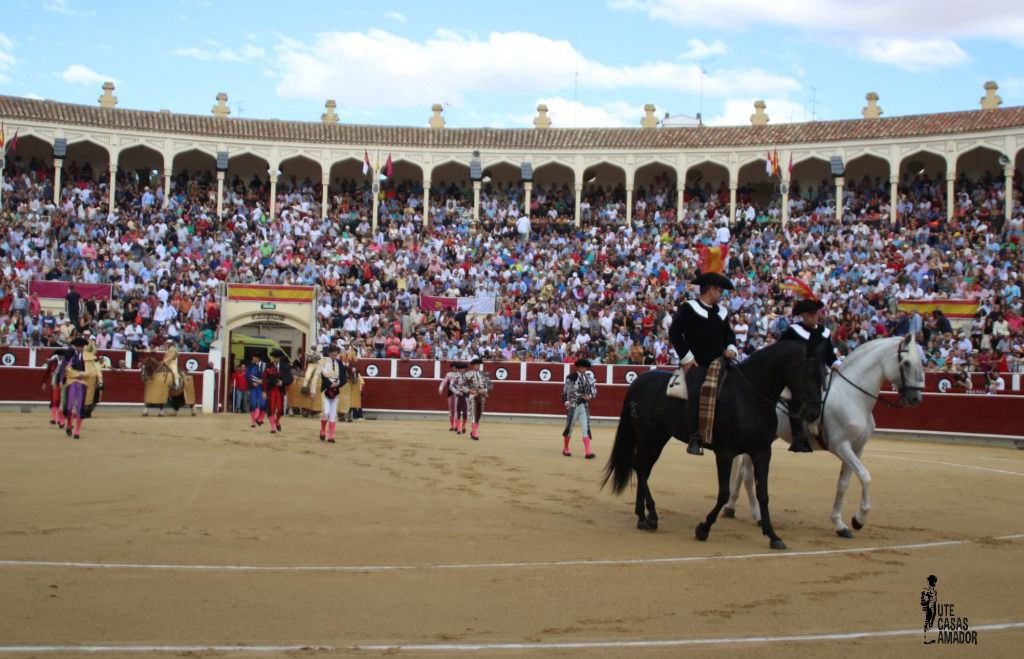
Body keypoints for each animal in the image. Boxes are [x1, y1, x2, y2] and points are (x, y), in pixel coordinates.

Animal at [720, 335, 929, 536]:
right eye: (907, 363)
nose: (916, 398)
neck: (852, 396)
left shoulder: (857, 448)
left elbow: (844, 483)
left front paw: (840, 524)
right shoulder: (841, 446)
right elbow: (865, 476)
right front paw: (859, 519)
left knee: (743, 473)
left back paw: (735, 509)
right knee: (747, 475)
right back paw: (754, 515)